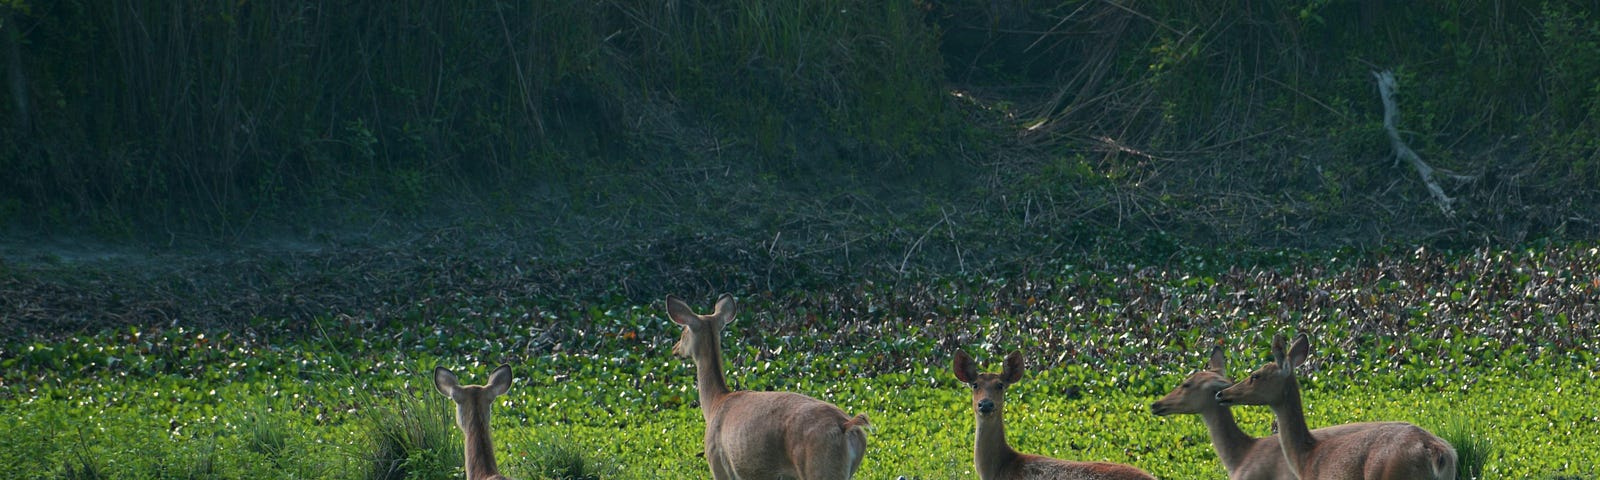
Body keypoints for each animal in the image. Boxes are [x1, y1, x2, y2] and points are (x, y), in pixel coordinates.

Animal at [665, 292, 876, 480]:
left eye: (683, 331)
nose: (674, 349)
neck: (715, 403)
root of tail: (847, 425)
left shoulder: (717, 462)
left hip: (819, 468)